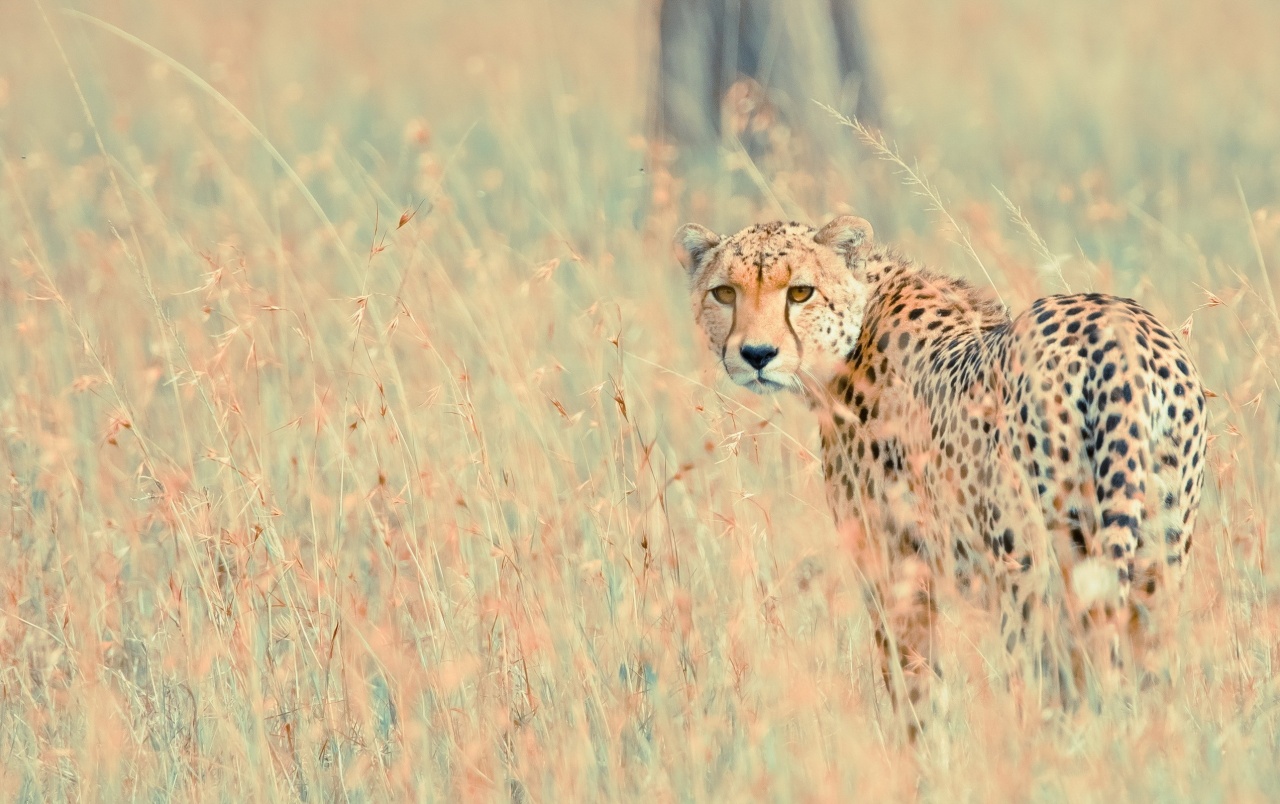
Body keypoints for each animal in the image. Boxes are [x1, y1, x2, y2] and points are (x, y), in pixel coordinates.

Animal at [675, 215, 1208, 735]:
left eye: (801, 292)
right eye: (725, 293)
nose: (756, 354)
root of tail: (1119, 331)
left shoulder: (896, 570)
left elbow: (914, 690)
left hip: (1031, 565)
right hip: (1159, 556)